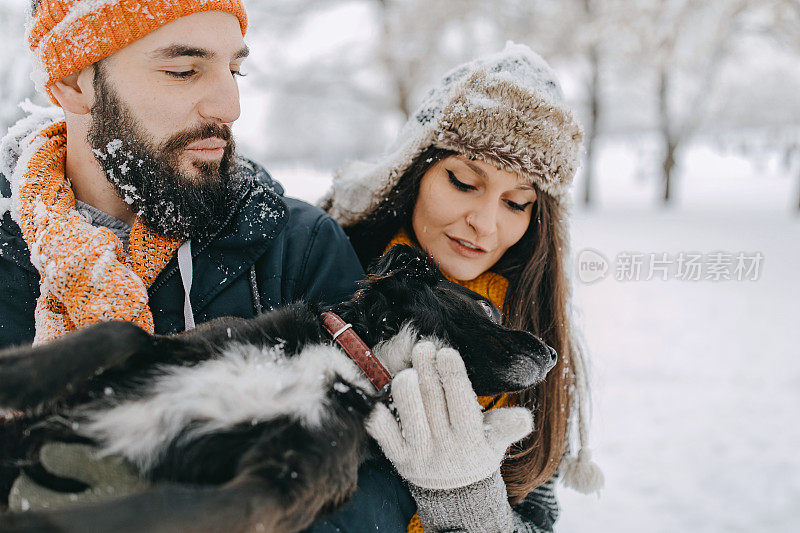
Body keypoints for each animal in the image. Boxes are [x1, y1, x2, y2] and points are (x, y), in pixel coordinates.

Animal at [0, 245, 556, 532]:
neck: (352, 362)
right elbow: (119, 332)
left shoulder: (288, 480)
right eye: (487, 310)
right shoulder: (203, 341)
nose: (551, 354)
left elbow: (168, 508)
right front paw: (14, 377)